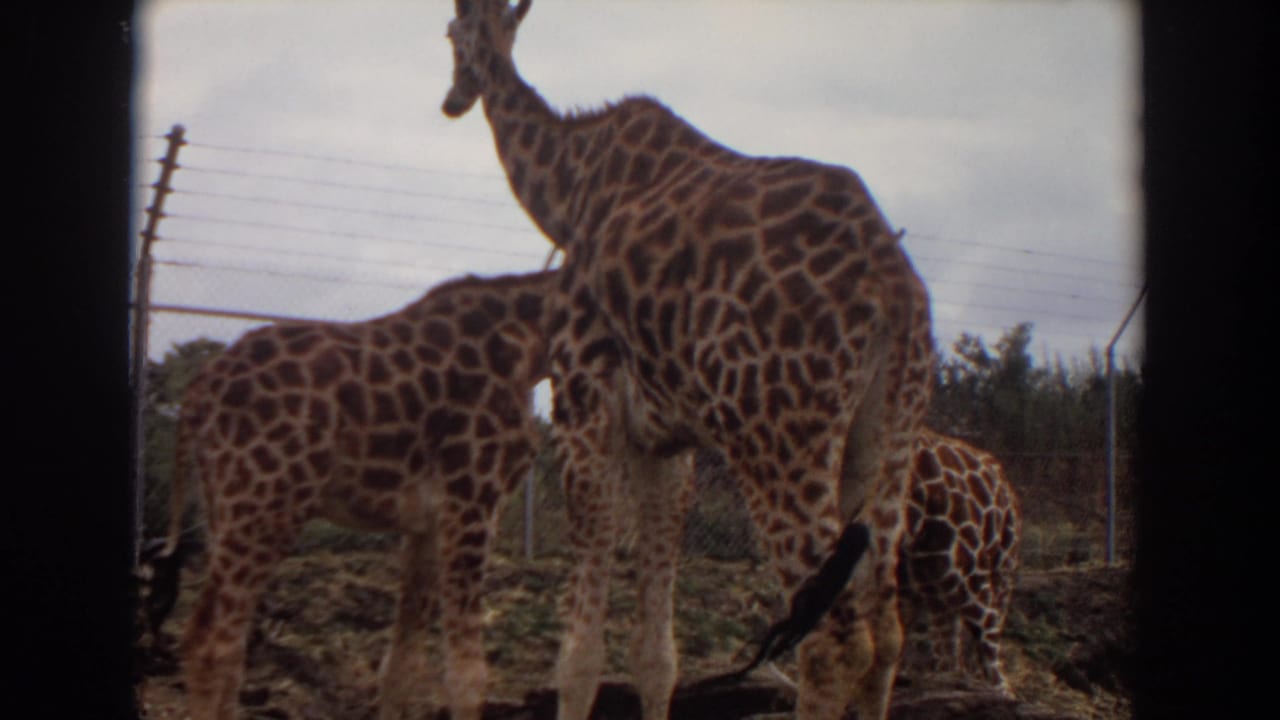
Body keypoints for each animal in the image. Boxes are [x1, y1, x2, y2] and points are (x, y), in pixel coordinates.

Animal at [157, 269, 556, 720]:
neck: (531, 348)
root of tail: (197, 393)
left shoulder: (427, 523)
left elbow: (402, 664)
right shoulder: (472, 499)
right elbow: (467, 675)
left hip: (226, 506)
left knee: (231, 640)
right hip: (263, 504)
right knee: (208, 640)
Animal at [438, 3, 935, 720]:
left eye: (448, 35)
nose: (453, 99)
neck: (567, 186)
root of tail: (895, 289)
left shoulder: (583, 402)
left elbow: (579, 657)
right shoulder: (667, 441)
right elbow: (656, 656)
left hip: (780, 438)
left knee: (832, 638)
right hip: (889, 436)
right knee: (887, 629)